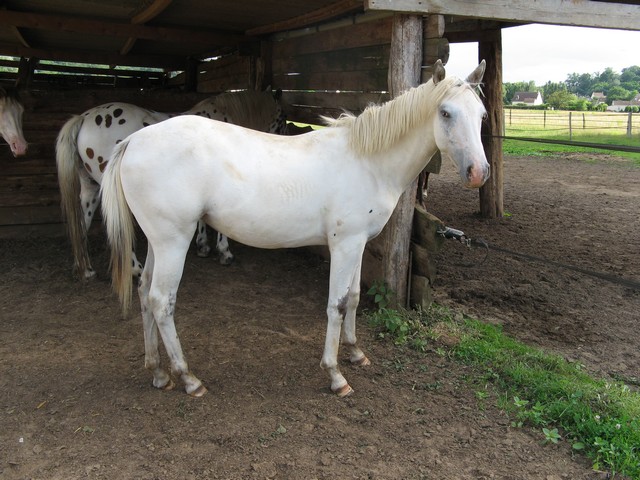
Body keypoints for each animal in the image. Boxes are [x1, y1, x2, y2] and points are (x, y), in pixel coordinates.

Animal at [56, 89, 286, 279]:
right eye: (283, 118)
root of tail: (84, 118)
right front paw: (224, 252)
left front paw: (203, 246)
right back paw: (135, 269)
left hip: (90, 189)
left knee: (81, 224)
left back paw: (85, 269)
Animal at [101, 60, 489, 397]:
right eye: (445, 113)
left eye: (482, 115)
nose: (478, 173)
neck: (367, 161)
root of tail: (134, 140)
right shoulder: (344, 245)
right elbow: (336, 304)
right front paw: (335, 375)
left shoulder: (358, 244)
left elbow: (353, 297)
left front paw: (355, 352)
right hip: (173, 242)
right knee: (160, 301)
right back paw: (188, 379)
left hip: (159, 243)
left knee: (144, 292)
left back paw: (158, 372)